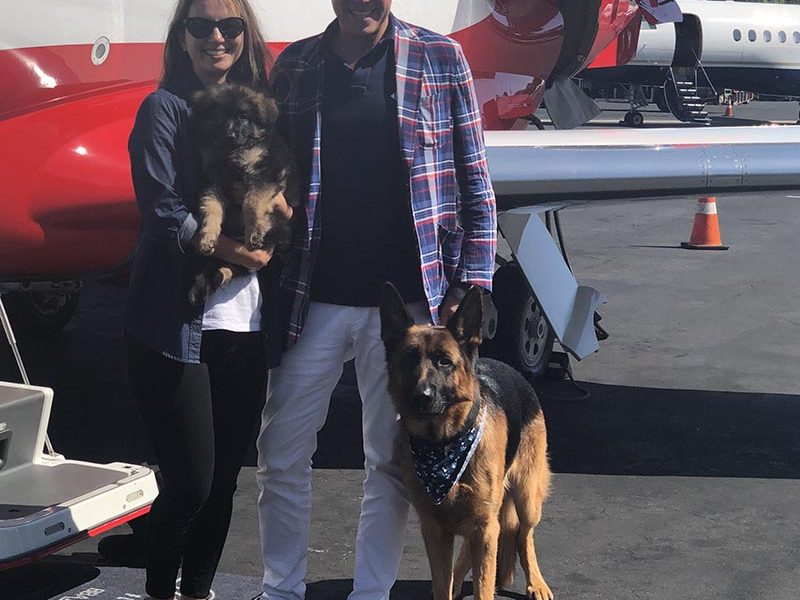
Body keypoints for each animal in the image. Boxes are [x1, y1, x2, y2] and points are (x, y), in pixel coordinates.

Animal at [185, 84, 296, 308]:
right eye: (219, 114)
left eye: (244, 116)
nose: (230, 134)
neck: (231, 152)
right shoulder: (212, 181)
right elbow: (211, 207)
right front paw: (207, 236)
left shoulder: (267, 172)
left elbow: (251, 202)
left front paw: (254, 231)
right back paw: (214, 278)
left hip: (277, 232)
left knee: (243, 266)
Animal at [380, 282, 552, 600]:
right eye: (408, 359)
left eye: (444, 362)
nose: (422, 397)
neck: (443, 446)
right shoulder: (435, 531)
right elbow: (442, 584)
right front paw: (450, 584)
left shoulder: (484, 527)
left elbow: (484, 585)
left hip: (527, 496)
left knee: (525, 535)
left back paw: (536, 583)